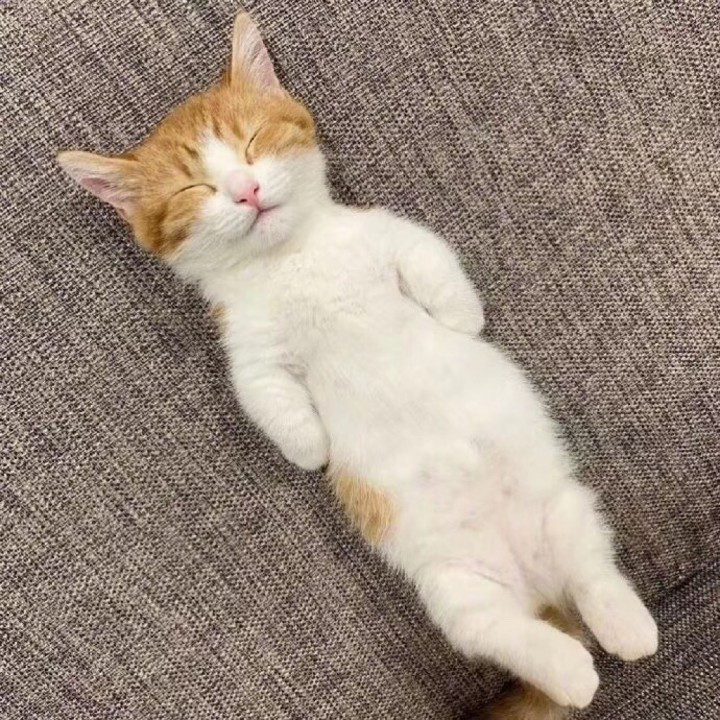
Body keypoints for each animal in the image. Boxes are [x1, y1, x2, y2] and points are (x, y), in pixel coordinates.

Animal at [58, 12, 658, 718]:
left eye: (253, 143)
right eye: (194, 187)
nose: (246, 191)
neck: (291, 259)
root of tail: (537, 585)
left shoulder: (388, 234)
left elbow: (431, 259)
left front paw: (462, 318)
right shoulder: (248, 346)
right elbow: (265, 396)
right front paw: (310, 445)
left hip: (567, 509)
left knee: (593, 571)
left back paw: (628, 627)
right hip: (454, 588)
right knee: (502, 632)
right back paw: (572, 671)